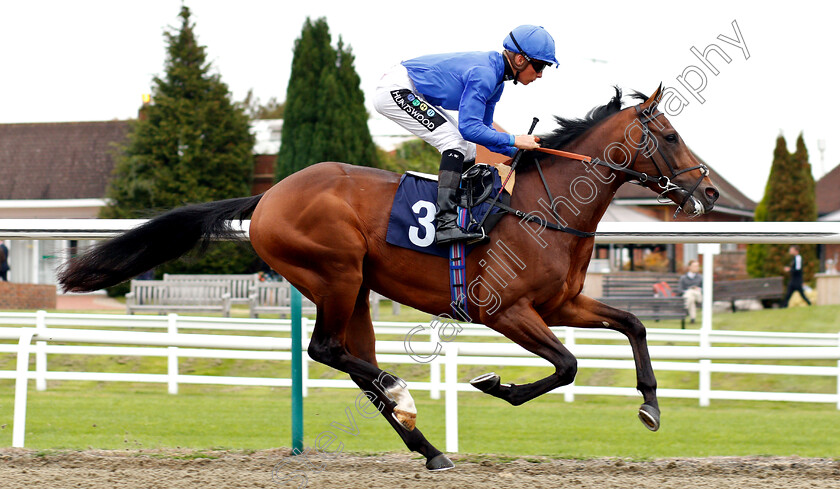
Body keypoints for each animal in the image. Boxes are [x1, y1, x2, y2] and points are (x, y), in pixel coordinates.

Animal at [59, 86, 720, 470]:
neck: (544, 206)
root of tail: (269, 195)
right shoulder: (505, 311)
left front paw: (651, 405)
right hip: (334, 273)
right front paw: (495, 385)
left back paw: (428, 449)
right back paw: (405, 397)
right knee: (327, 350)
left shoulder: (561, 304)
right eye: (668, 136)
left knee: (354, 363)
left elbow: (632, 323)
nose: (709, 192)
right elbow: (567, 365)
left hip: (357, 291)